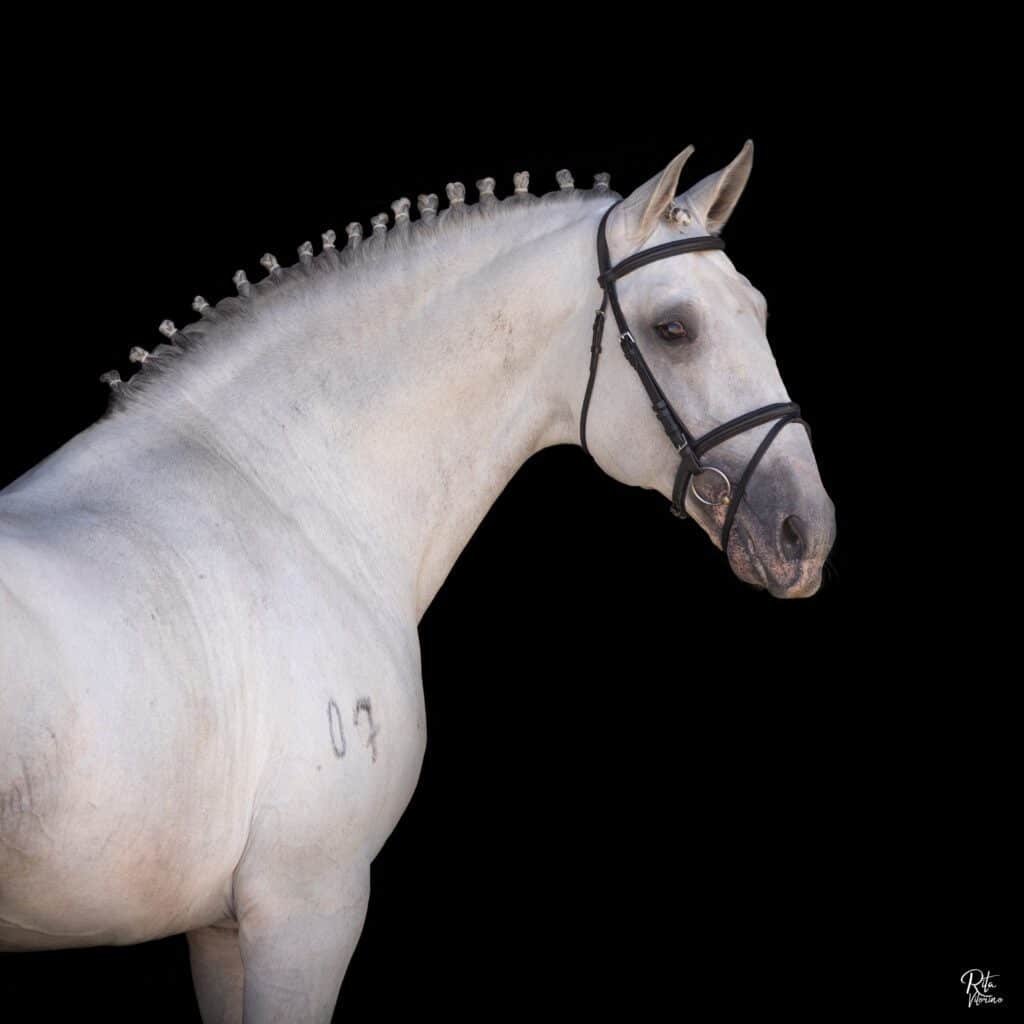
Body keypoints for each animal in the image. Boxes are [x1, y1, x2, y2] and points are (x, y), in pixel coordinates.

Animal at [0, 141, 836, 1021]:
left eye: (760, 311)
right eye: (674, 329)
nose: (805, 532)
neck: (288, 497)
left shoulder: (225, 932)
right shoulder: (307, 908)